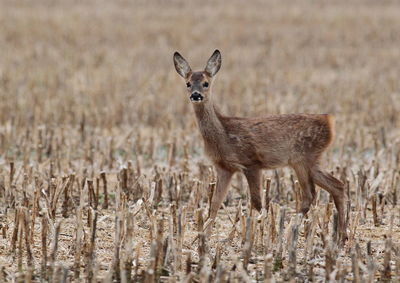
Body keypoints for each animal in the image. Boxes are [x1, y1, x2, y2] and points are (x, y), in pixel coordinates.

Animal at [173, 49, 348, 244]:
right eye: (188, 83)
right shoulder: (224, 167)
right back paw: (341, 237)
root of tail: (329, 121)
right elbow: (214, 204)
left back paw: (289, 233)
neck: (224, 134)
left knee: (309, 195)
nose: (196, 95)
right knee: (338, 186)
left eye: (206, 83)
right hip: (312, 161)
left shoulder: (251, 162)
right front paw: (203, 237)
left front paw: (264, 235)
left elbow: (257, 204)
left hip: (302, 158)